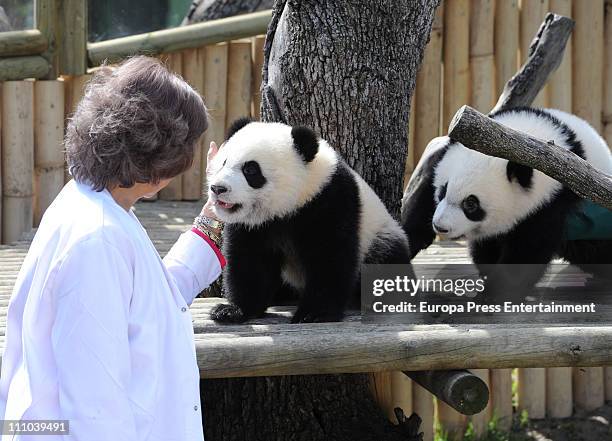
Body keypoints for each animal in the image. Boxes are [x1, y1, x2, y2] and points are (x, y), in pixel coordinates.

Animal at [206, 118, 412, 322]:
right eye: (223, 162)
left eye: (250, 169)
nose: (218, 188)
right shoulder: (254, 225)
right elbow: (250, 261)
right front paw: (232, 310)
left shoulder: (329, 200)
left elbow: (329, 256)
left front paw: (315, 313)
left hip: (379, 238)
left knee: (387, 262)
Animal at [402, 106, 612, 292]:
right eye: (443, 191)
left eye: (471, 204)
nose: (440, 226)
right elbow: (423, 200)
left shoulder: (550, 202)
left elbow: (527, 252)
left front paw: (490, 295)